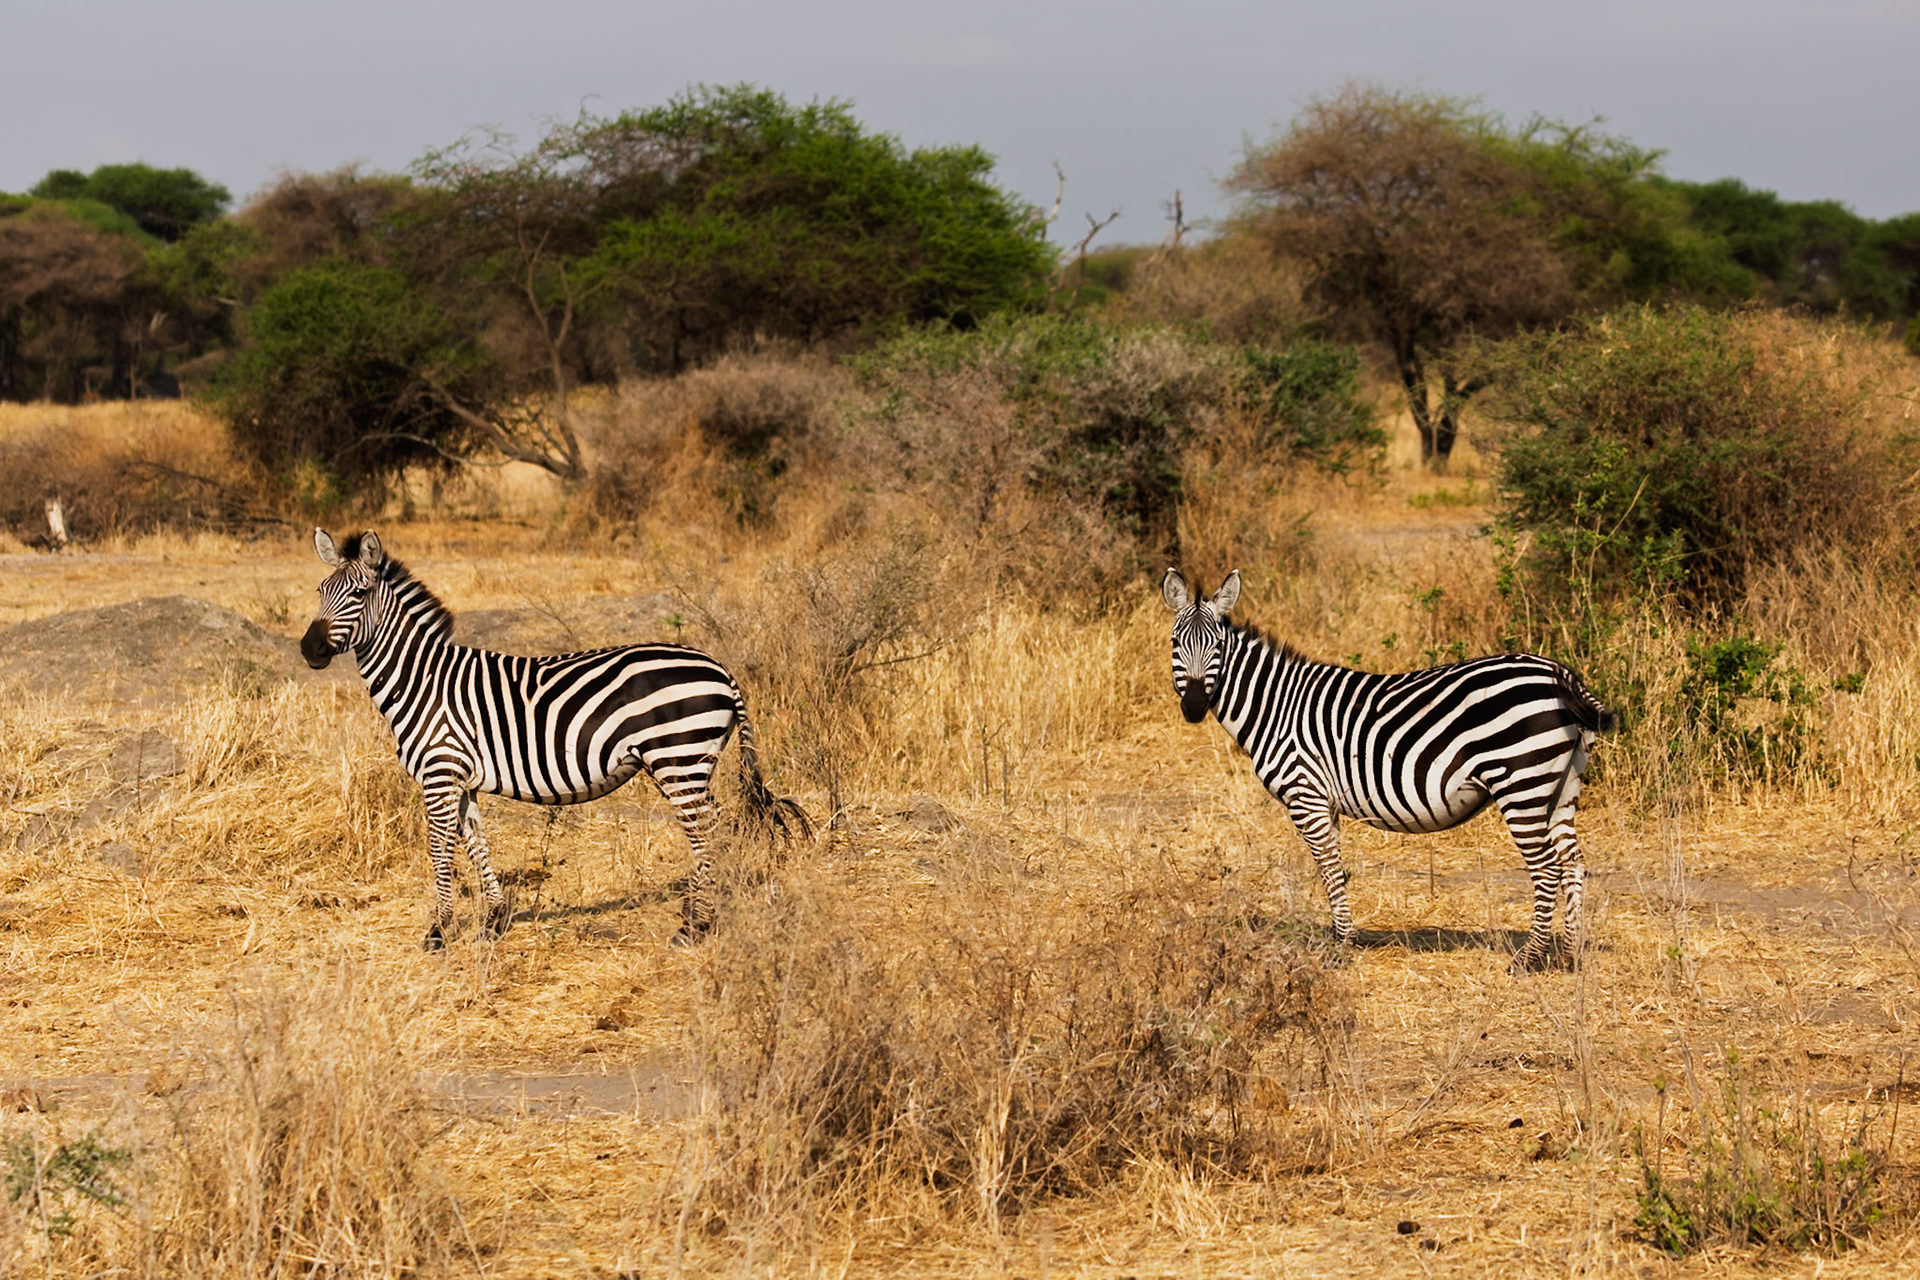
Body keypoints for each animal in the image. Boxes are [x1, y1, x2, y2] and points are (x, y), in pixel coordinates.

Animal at [300, 528, 810, 949]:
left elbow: (439, 853)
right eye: (321, 592)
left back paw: (696, 927)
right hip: (688, 762)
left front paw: (439, 932)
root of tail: (720, 667)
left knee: (705, 830)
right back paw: (707, 910)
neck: (422, 681)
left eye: (359, 594)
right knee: (716, 822)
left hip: (678, 758)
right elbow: (477, 844)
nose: (309, 649)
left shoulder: (439, 773)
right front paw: (494, 921)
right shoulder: (460, 779)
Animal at [1162, 568, 1616, 971]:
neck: (1276, 707)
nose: (1194, 707)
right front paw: (1341, 936)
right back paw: (1572, 954)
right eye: (1175, 643)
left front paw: (1341, 947)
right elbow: (1336, 870)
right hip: (1560, 785)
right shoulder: (1324, 801)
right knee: (1573, 862)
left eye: (1218, 648)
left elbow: (1329, 869)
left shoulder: (1306, 794)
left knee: (1546, 868)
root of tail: (1559, 674)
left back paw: (1528, 959)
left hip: (1521, 783)